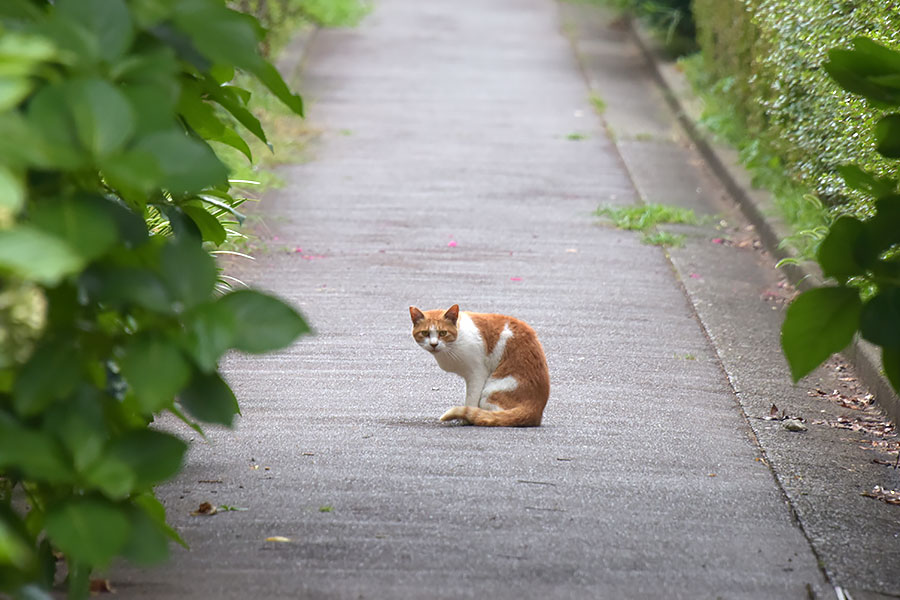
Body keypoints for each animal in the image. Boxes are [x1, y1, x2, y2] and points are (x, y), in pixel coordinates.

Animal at [408, 304, 548, 426]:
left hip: (489, 392)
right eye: (425, 333)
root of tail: (536, 409)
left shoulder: (477, 374)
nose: (433, 344)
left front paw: (466, 420)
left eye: (443, 333)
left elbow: (470, 401)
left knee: (498, 417)